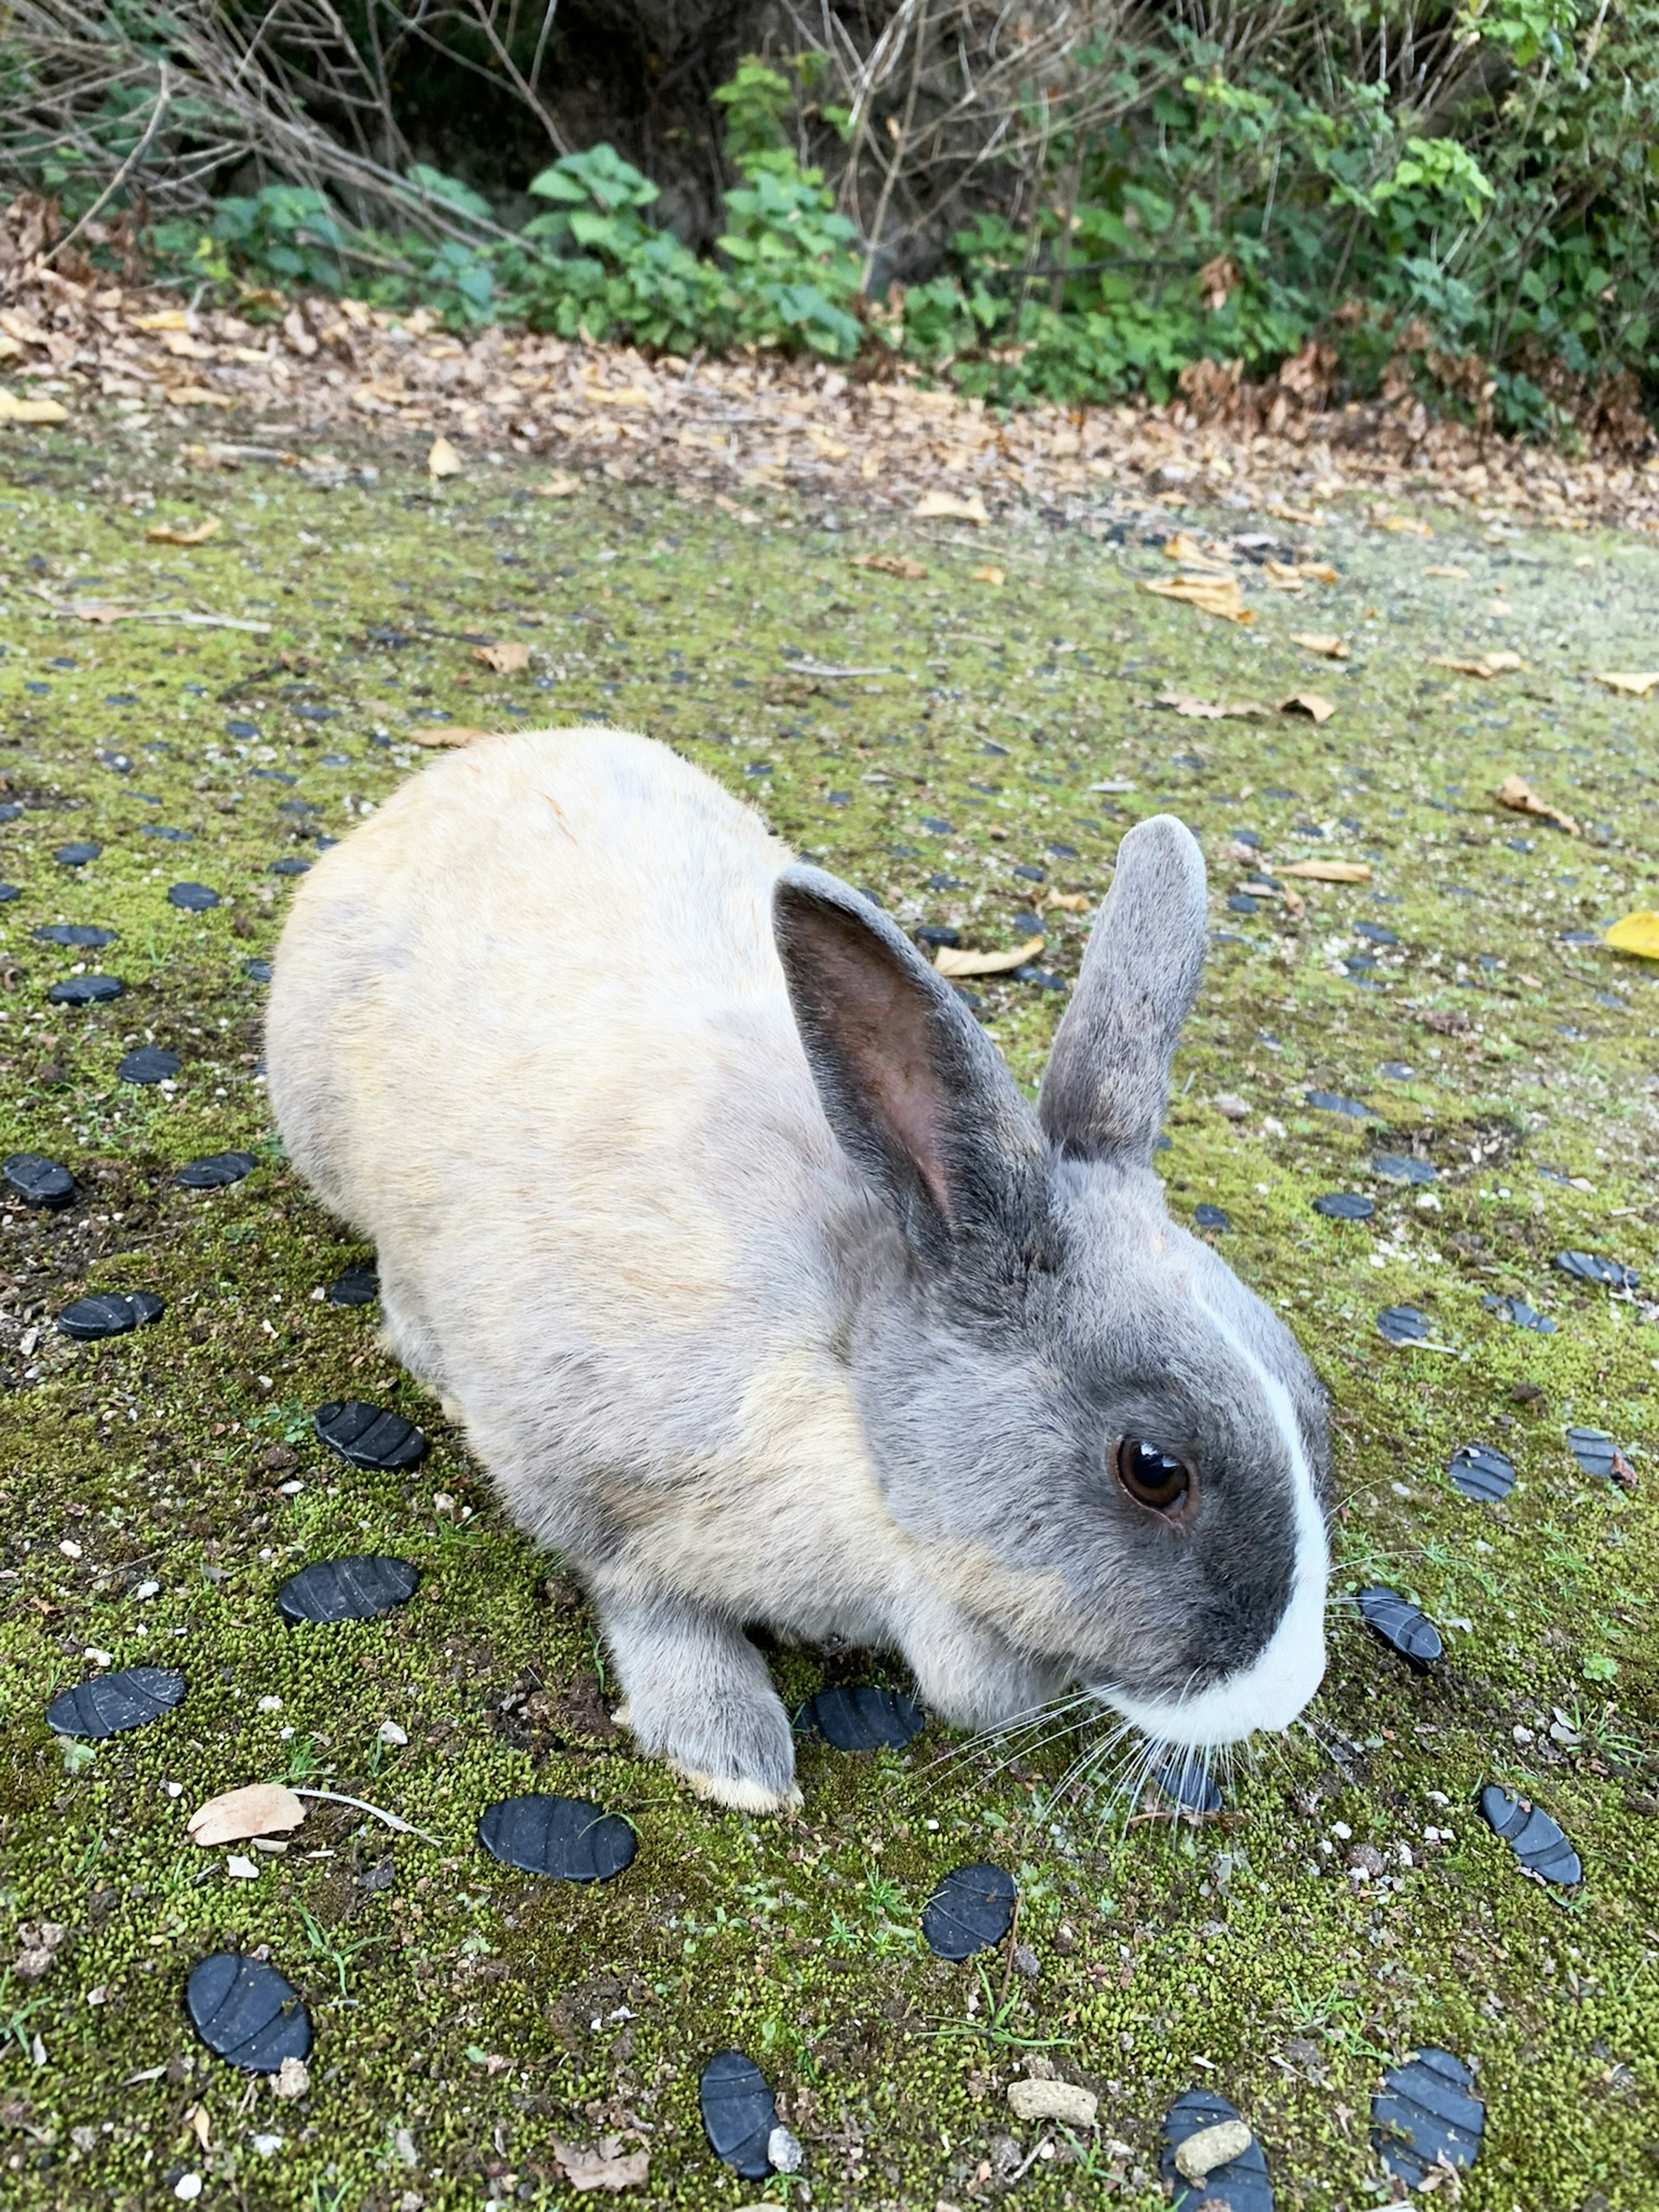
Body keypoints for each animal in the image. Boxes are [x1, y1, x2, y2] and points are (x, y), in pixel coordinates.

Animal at [273, 734, 1336, 1805]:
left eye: (1310, 1397)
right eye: (1154, 1469)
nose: (1280, 1698)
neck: (848, 1390)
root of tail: (458, 770)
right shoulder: (584, 1474)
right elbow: (649, 1597)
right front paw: (730, 1753)